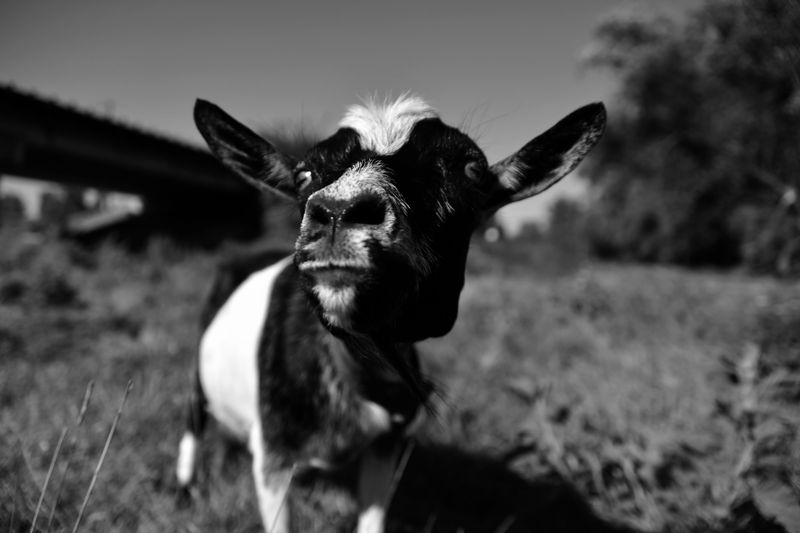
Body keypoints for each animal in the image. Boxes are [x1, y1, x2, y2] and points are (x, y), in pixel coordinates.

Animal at [176, 95, 605, 533]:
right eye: (303, 174)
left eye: (470, 170)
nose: (338, 211)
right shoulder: (274, 453)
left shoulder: (387, 446)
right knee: (193, 415)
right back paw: (186, 490)